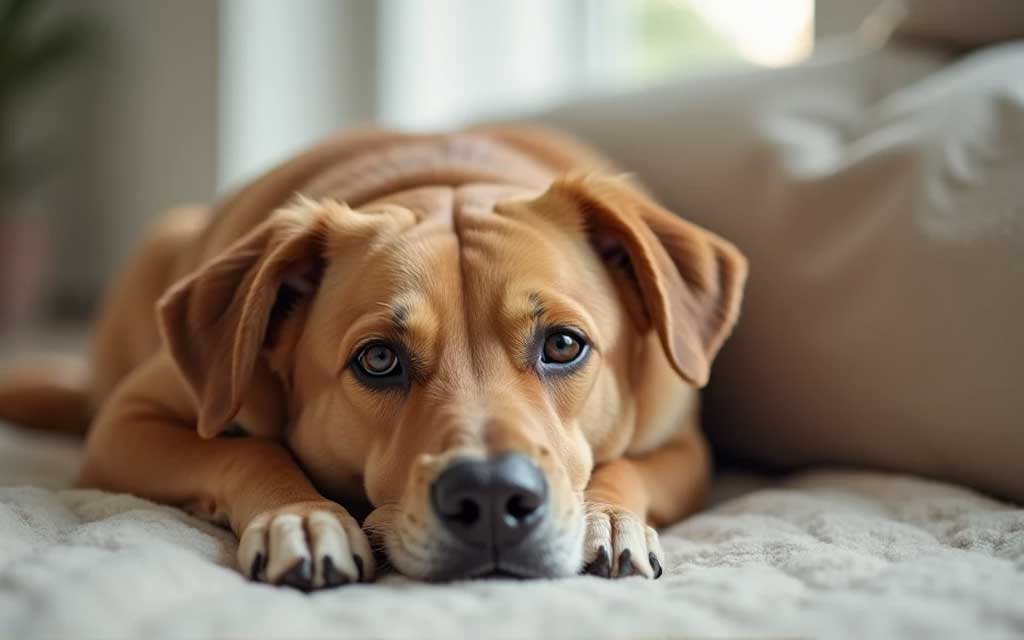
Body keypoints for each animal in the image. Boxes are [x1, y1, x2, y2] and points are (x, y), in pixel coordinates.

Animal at [0, 122, 745, 585]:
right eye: (379, 360)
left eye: (563, 345)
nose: (492, 496)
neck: (447, 176)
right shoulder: (127, 424)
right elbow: (248, 449)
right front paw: (302, 516)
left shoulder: (685, 444)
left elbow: (630, 470)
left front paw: (608, 518)